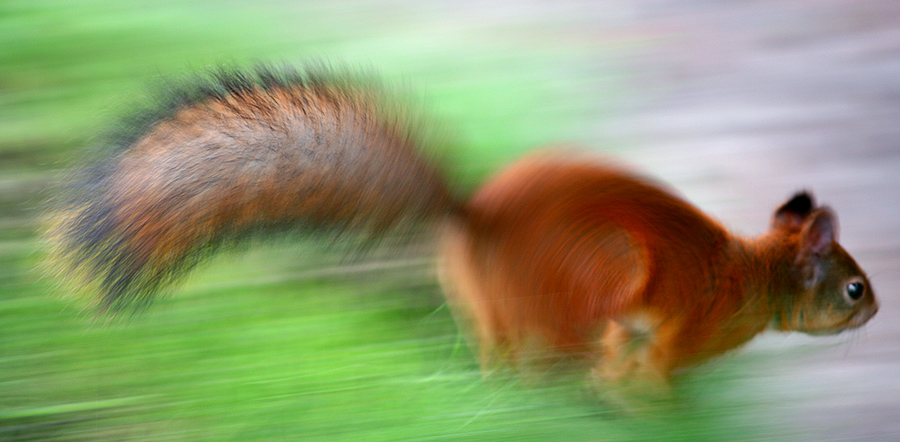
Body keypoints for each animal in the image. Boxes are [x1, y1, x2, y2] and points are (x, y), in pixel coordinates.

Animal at [44, 64, 880, 386]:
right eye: (852, 288)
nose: (875, 313)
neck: (752, 276)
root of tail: (478, 219)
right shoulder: (678, 327)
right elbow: (650, 372)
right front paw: (652, 403)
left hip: (491, 304)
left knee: (501, 359)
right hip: (590, 281)